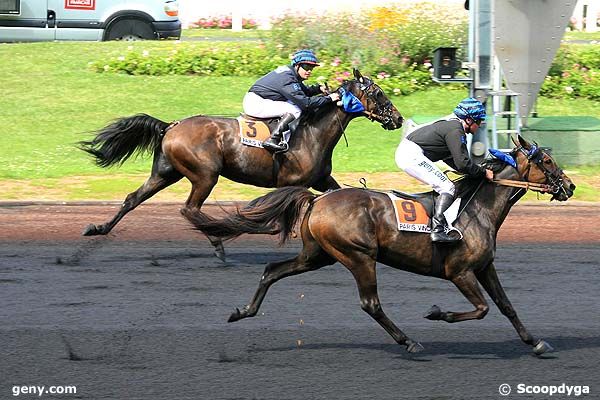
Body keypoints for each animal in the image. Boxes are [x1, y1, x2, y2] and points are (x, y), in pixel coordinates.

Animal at [77, 68, 400, 258]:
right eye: (378, 92)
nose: (396, 118)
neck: (312, 133)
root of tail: (171, 126)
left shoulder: (322, 181)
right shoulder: (291, 183)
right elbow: (271, 216)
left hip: (166, 172)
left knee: (133, 198)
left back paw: (98, 228)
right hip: (205, 175)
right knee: (189, 209)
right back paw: (219, 241)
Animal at [184, 136, 576, 354]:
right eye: (546, 160)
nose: (570, 186)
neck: (477, 209)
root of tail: (317, 199)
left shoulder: (484, 267)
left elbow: (507, 306)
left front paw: (536, 342)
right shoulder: (459, 272)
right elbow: (481, 309)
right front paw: (438, 312)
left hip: (318, 255)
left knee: (272, 270)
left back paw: (243, 311)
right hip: (358, 255)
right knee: (370, 303)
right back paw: (409, 341)